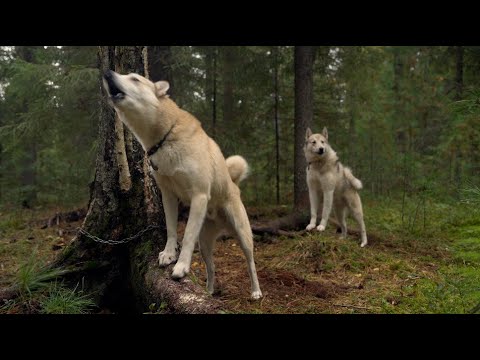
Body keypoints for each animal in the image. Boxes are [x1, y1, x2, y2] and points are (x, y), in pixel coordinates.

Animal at [102, 69, 262, 298]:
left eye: (135, 79)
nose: (107, 72)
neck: (165, 136)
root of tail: (233, 184)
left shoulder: (199, 195)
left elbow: (186, 236)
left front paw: (181, 266)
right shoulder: (168, 195)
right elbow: (171, 229)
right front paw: (169, 254)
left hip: (242, 234)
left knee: (251, 263)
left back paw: (256, 292)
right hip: (205, 244)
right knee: (211, 267)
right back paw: (208, 292)